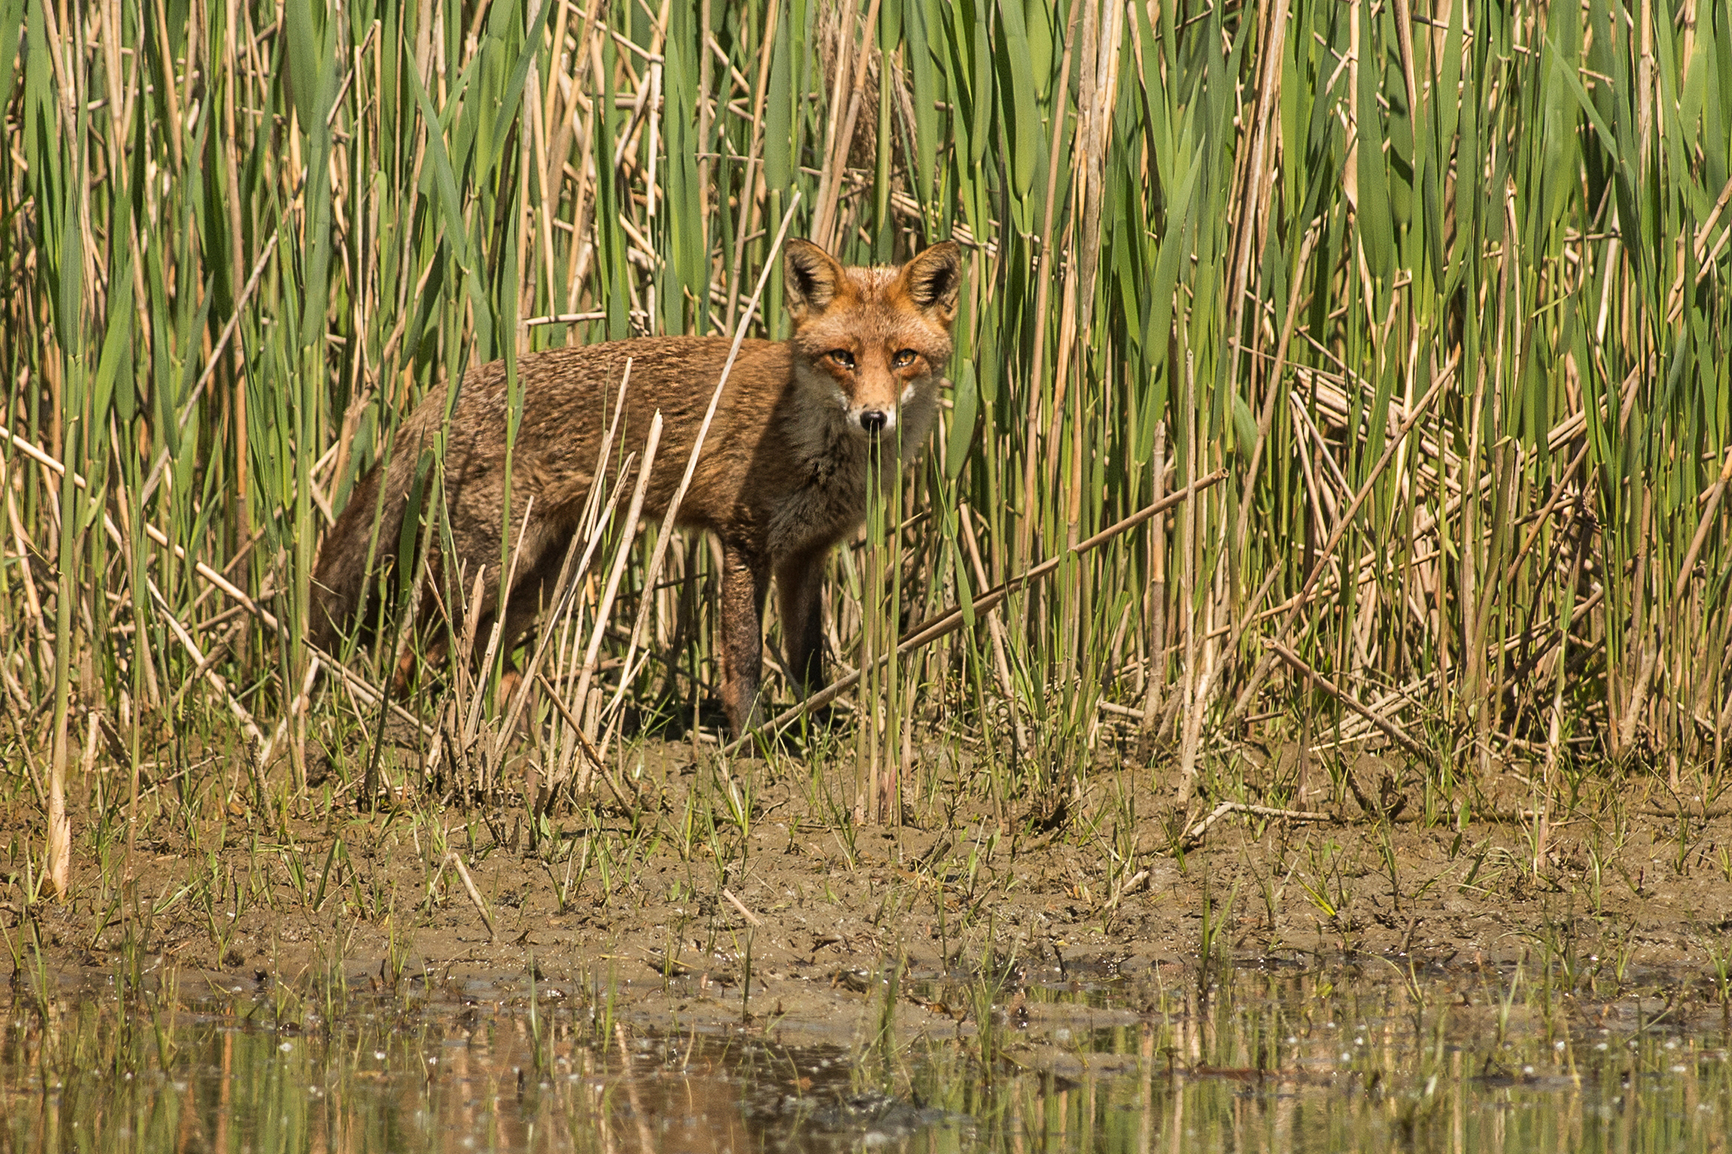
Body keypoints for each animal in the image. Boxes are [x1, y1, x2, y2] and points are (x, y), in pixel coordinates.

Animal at [310, 238, 963, 736]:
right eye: (843, 358)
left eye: (903, 357)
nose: (874, 418)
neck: (812, 442)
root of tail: (449, 389)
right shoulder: (744, 539)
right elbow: (745, 657)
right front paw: (750, 738)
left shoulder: (807, 554)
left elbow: (808, 661)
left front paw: (814, 731)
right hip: (487, 567)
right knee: (414, 645)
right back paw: (414, 725)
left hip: (546, 574)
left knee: (473, 652)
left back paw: (512, 723)